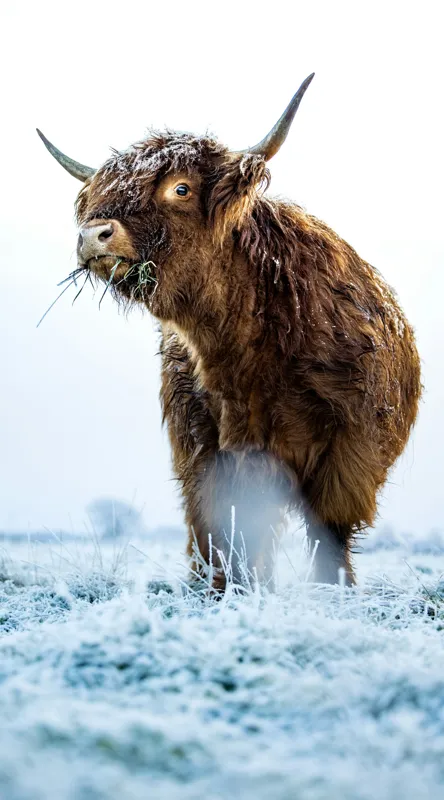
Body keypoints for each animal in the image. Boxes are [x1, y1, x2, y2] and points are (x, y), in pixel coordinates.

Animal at [37, 74, 421, 589]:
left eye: (180, 189)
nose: (93, 234)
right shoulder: (205, 449)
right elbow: (220, 531)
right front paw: (223, 592)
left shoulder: (348, 452)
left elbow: (328, 532)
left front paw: (331, 592)